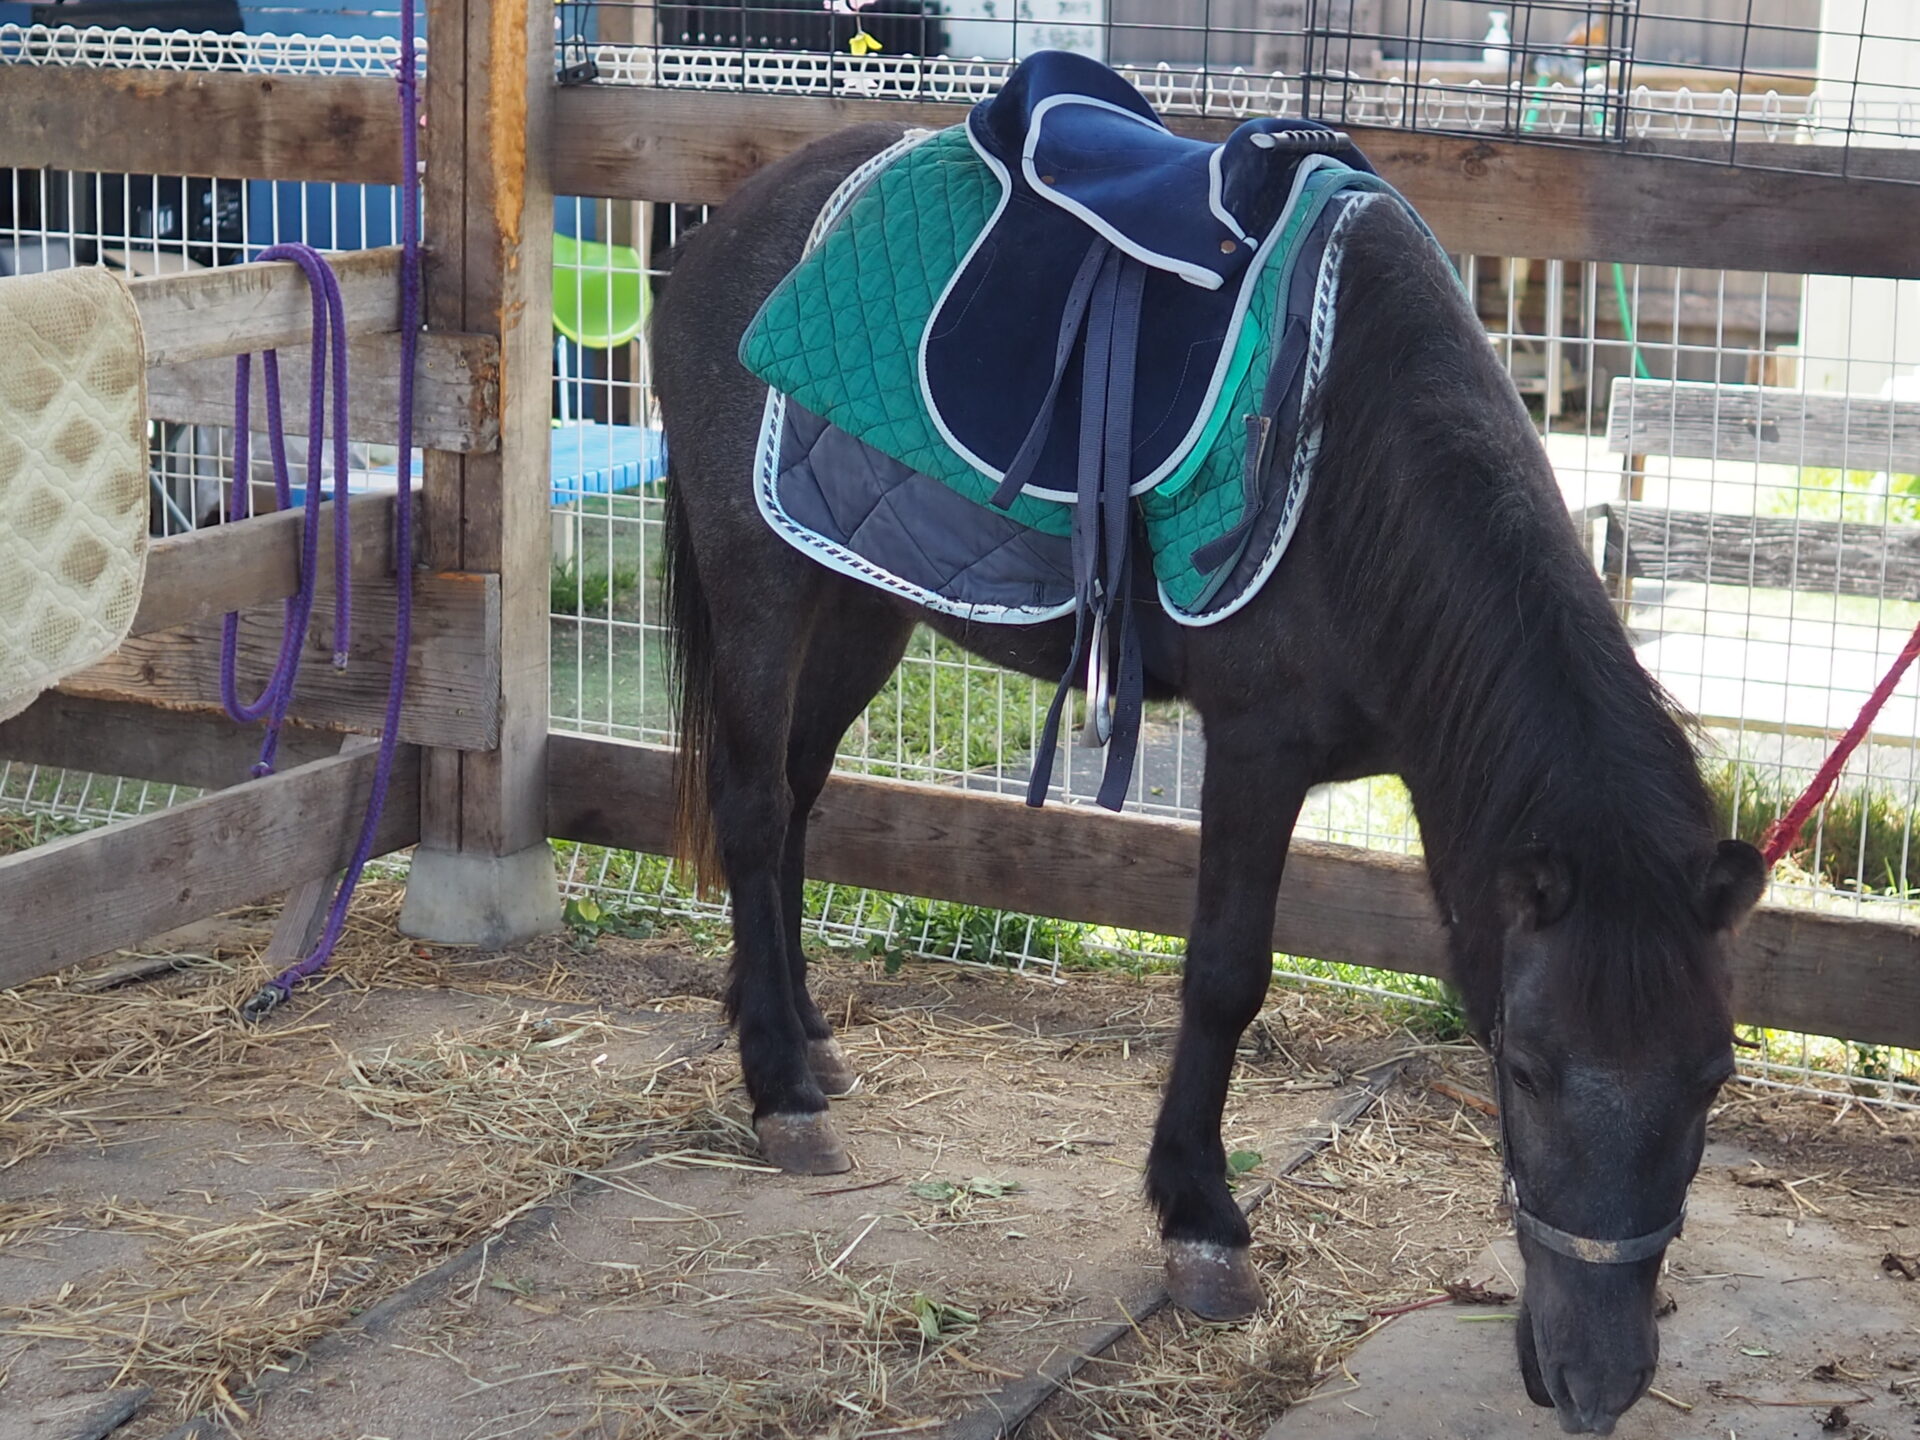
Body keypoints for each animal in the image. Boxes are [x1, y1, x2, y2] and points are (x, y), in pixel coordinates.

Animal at [650, 120, 1767, 1436]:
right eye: (1526, 1069)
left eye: (1712, 1079)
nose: (1598, 1383)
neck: (1358, 465)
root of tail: (735, 218)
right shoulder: (1255, 746)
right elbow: (1228, 974)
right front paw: (1201, 1220)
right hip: (762, 587)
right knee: (753, 807)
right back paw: (781, 1089)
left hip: (860, 596)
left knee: (798, 794)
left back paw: (799, 1033)